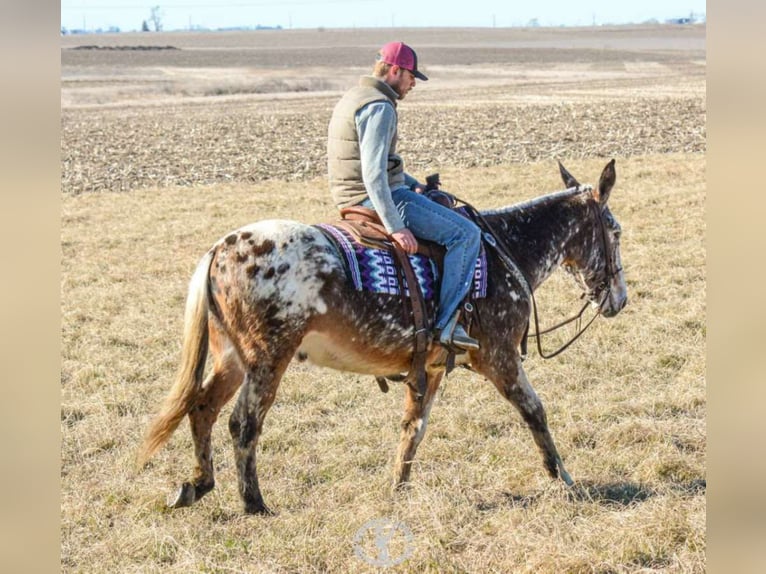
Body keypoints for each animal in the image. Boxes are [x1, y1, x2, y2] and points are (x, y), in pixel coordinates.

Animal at [140, 160, 632, 516]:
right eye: (615, 230)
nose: (619, 298)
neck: (503, 249)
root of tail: (219, 250)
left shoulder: (430, 368)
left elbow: (413, 427)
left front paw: (398, 488)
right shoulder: (501, 358)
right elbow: (535, 412)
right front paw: (563, 478)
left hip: (231, 358)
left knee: (202, 408)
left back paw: (197, 485)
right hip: (266, 359)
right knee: (244, 422)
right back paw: (254, 504)